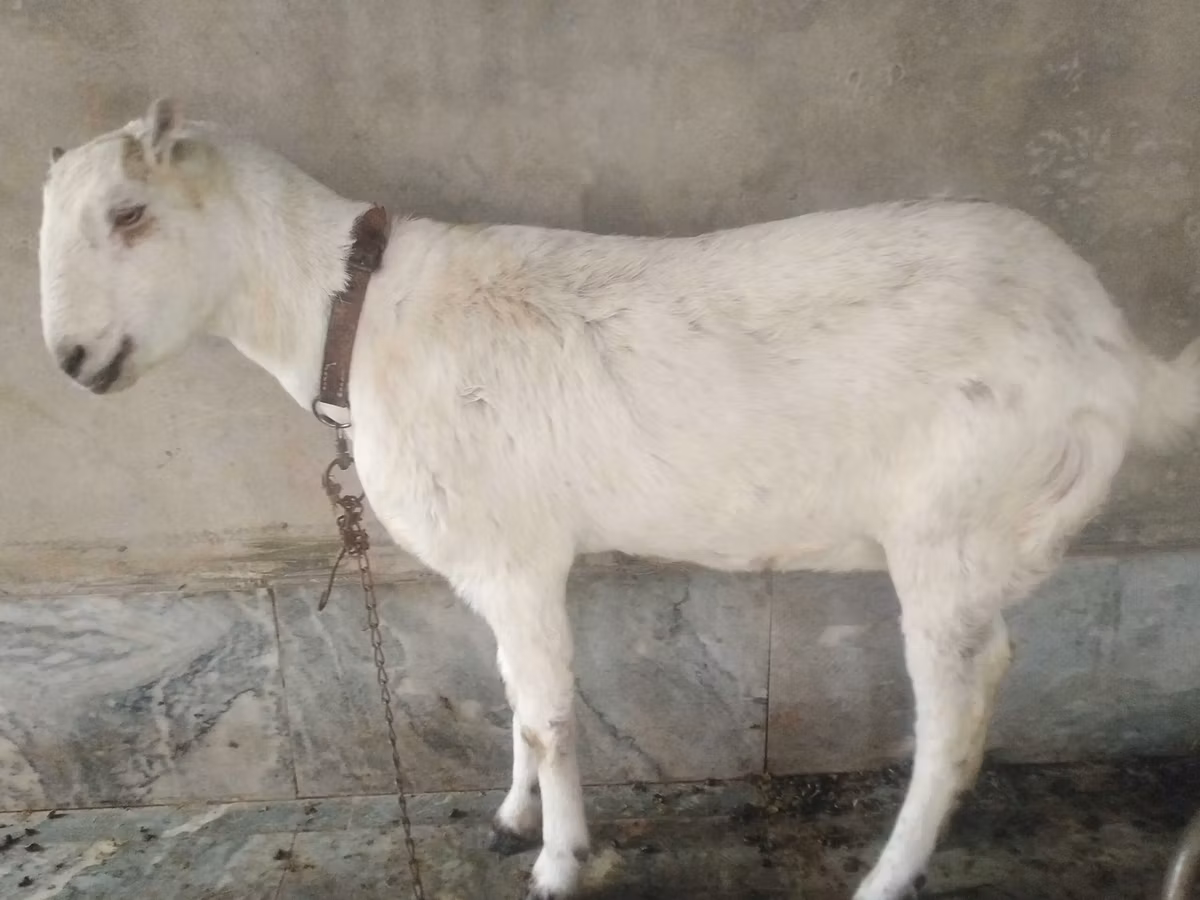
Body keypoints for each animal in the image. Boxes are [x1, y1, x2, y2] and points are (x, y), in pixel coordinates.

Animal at [38, 99, 1200, 900]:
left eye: (131, 214)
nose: (73, 361)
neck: (356, 312)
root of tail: (1117, 354)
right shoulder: (502, 559)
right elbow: (514, 692)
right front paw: (512, 817)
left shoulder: (518, 557)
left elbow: (551, 714)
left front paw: (557, 861)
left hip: (950, 523)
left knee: (953, 713)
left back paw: (886, 875)